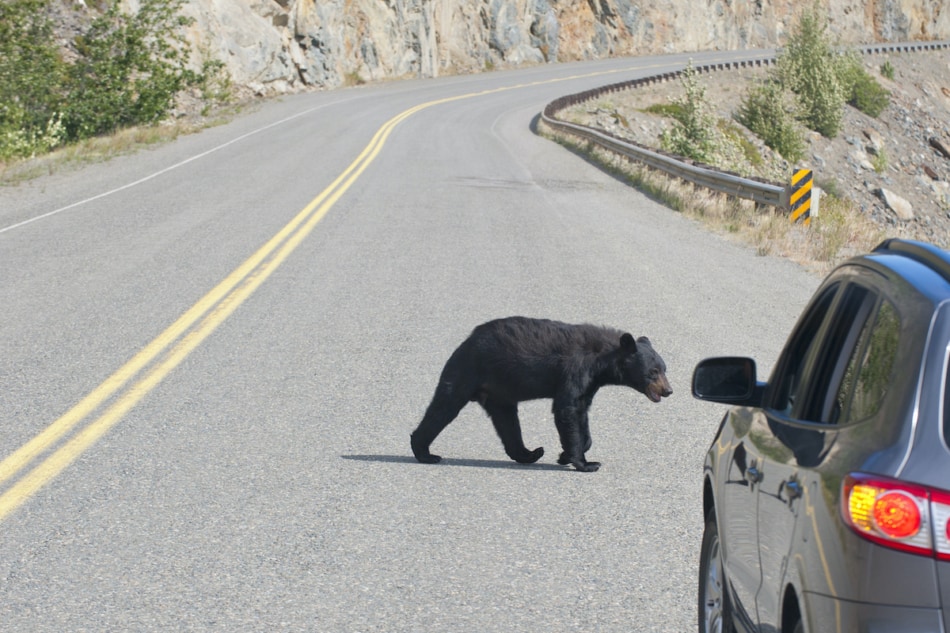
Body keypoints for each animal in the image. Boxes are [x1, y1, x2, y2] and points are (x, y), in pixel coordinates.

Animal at [412, 314, 672, 470]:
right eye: (653, 372)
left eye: (664, 369)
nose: (669, 390)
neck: (602, 360)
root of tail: (467, 340)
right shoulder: (576, 369)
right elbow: (567, 409)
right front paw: (585, 463)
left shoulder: (590, 383)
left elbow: (581, 413)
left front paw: (566, 454)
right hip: (467, 370)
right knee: (445, 406)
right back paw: (425, 453)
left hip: (499, 392)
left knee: (507, 422)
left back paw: (530, 453)